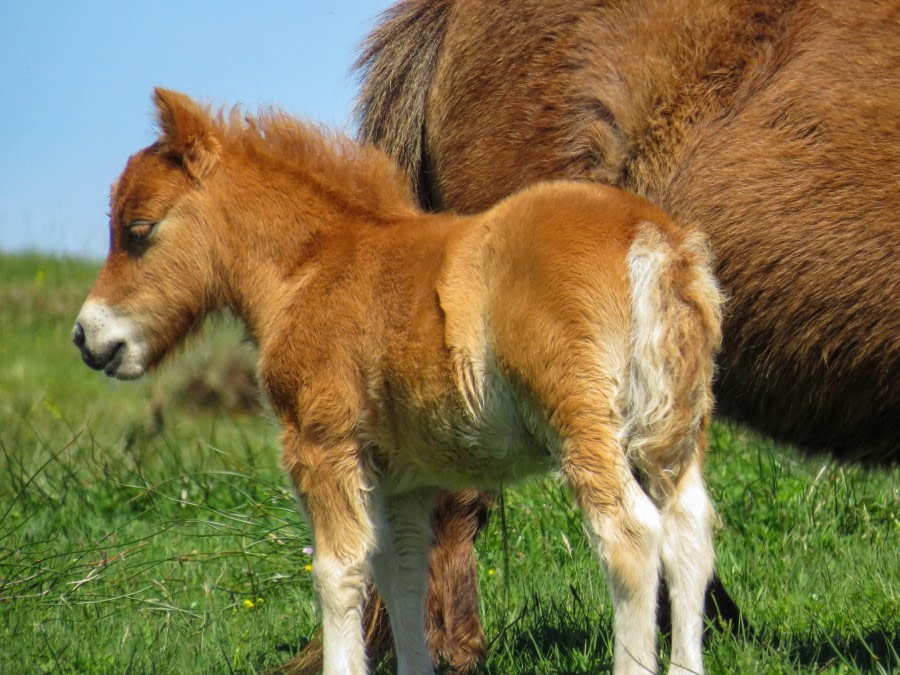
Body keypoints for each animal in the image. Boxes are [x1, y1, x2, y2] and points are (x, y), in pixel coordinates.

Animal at [75, 90, 724, 675]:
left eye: (138, 229)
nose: (87, 335)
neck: (313, 267)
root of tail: (651, 239)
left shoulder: (321, 444)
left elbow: (338, 571)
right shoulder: (405, 477)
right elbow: (404, 571)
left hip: (582, 421)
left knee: (631, 538)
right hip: (675, 428)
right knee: (689, 533)